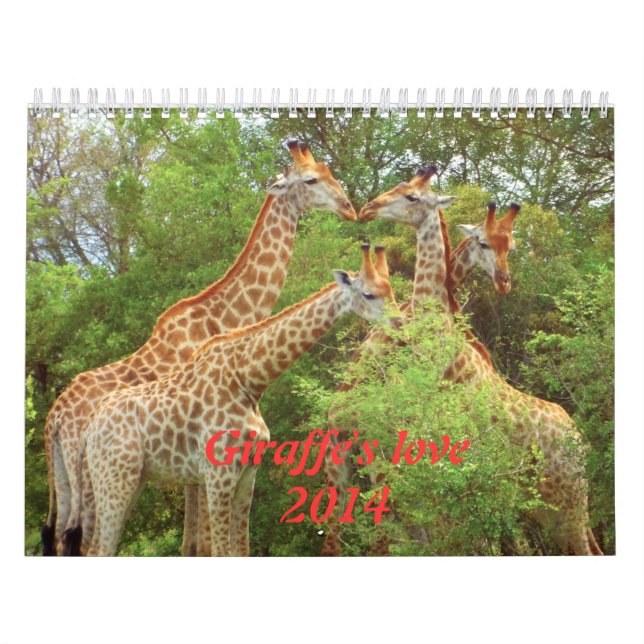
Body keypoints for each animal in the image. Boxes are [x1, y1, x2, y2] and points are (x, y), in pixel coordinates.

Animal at [42, 140, 356, 556]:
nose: (349, 207)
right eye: (310, 180)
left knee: (59, 535)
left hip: (63, 475)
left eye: (329, 171)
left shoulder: (193, 465)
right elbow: (204, 542)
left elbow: (192, 542)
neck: (225, 316)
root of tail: (55, 418)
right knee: (83, 538)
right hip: (95, 476)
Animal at [62, 246, 397, 556]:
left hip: (128, 479)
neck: (248, 380)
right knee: (99, 549)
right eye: (368, 294)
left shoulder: (248, 473)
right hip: (115, 479)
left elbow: (241, 550)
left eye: (390, 290)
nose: (401, 321)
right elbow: (221, 551)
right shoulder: (218, 473)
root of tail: (89, 429)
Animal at [351, 166, 602, 555]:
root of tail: (581, 443)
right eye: (400, 184)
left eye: (411, 196)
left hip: (569, 500)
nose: (368, 208)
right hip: (549, 506)